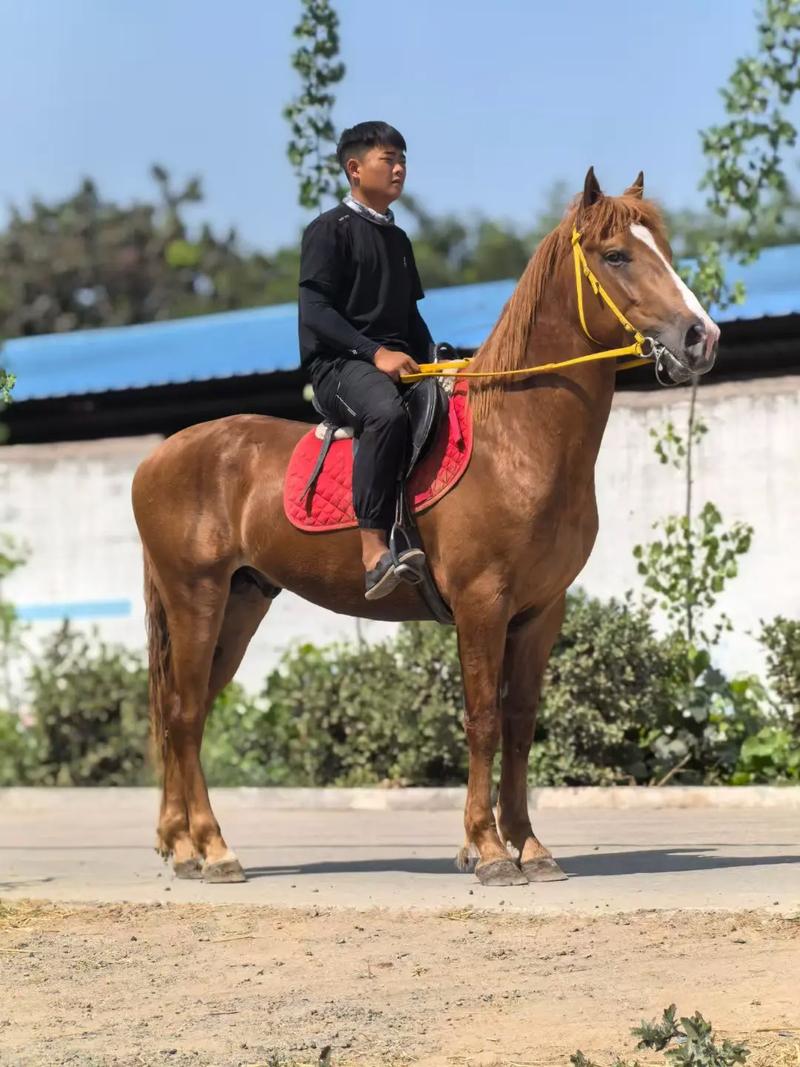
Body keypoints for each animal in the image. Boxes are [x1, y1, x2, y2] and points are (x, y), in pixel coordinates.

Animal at [131, 168, 719, 888]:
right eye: (616, 255)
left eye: (663, 247)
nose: (701, 337)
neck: (513, 441)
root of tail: (160, 456)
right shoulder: (482, 602)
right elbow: (483, 720)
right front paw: (489, 850)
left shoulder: (540, 611)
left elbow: (520, 724)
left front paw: (529, 846)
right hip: (197, 596)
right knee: (184, 714)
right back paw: (214, 850)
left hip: (241, 602)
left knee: (183, 713)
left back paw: (182, 843)